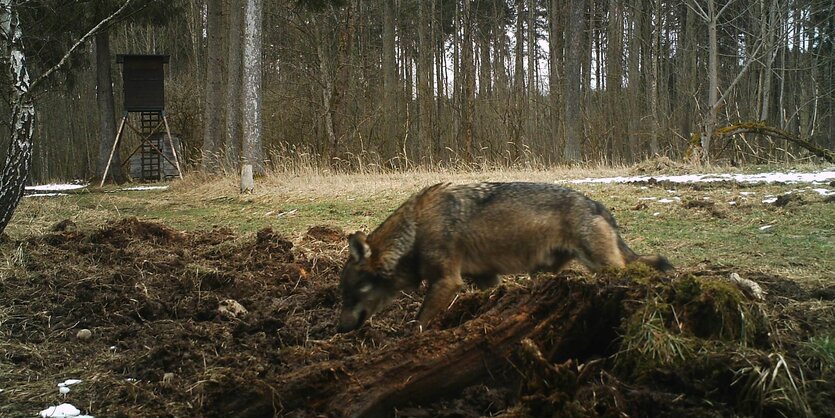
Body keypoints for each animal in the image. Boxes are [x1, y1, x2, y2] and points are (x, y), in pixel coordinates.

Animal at [336, 183, 676, 334]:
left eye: (351, 294)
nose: (339, 329)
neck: (414, 231)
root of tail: (596, 204)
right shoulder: (487, 278)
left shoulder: (448, 281)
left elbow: (419, 321)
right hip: (548, 272)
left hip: (603, 266)